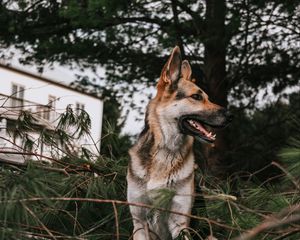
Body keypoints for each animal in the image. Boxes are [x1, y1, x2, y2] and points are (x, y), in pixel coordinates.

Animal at [126, 47, 232, 240]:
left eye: (207, 97)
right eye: (196, 97)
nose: (231, 116)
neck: (166, 150)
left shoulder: (179, 223)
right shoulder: (139, 223)